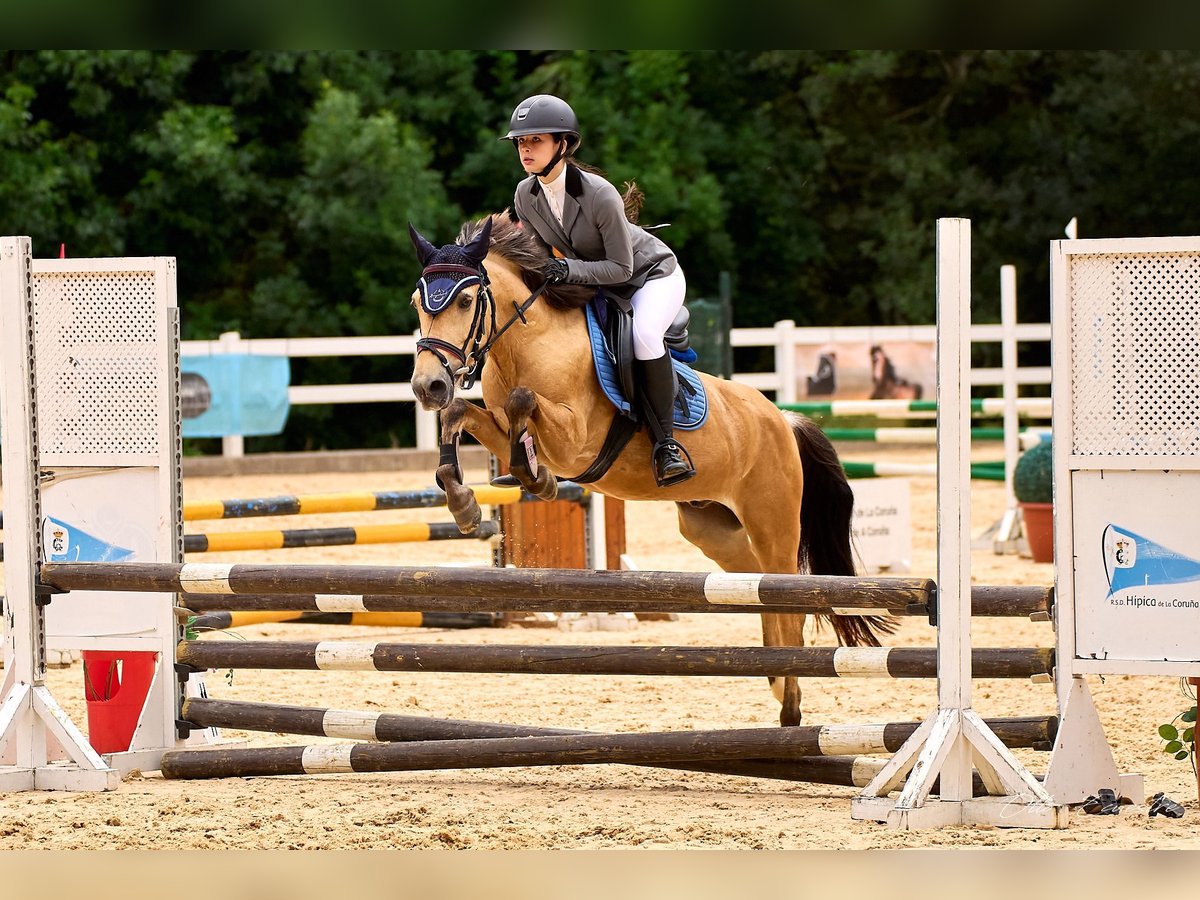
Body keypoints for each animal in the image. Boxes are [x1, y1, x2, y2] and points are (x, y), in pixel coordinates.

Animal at [408, 211, 897, 724]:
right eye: (418, 303)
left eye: (465, 300)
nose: (427, 385)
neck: (530, 343)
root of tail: (782, 418)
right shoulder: (501, 427)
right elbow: (458, 414)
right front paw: (464, 504)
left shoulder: (575, 440)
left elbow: (524, 403)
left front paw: (535, 478)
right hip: (712, 529)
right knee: (758, 587)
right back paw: (776, 678)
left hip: (773, 522)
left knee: (790, 598)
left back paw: (790, 704)